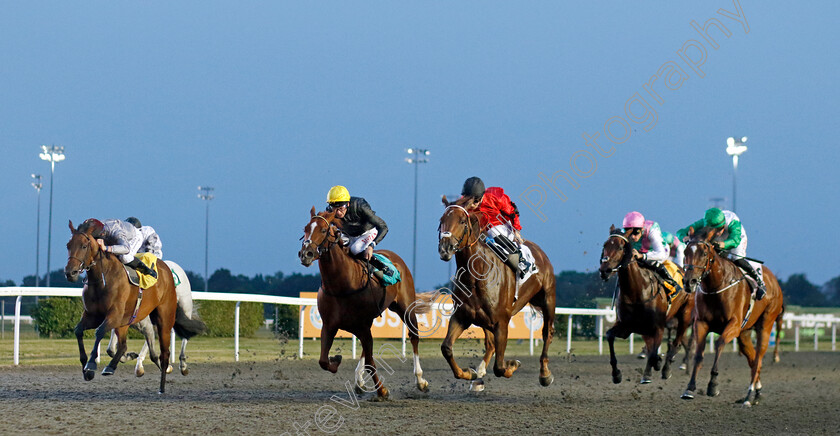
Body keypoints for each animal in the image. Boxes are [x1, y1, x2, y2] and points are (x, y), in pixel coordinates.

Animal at [63, 220, 205, 394]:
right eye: (68, 245)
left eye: (84, 246)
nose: (70, 272)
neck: (102, 279)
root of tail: (166, 269)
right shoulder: (94, 316)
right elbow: (79, 331)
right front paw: (87, 367)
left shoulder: (116, 315)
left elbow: (100, 332)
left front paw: (91, 365)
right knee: (127, 345)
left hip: (168, 315)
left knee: (167, 350)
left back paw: (167, 381)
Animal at [298, 206, 430, 400]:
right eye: (305, 229)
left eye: (322, 230)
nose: (305, 254)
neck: (341, 285)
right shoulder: (331, 325)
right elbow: (323, 360)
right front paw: (336, 359)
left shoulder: (361, 325)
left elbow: (370, 360)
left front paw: (382, 390)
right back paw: (359, 381)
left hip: (406, 307)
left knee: (414, 337)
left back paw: (420, 381)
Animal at [434, 196, 556, 386]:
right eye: (442, 221)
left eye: (462, 221)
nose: (445, 248)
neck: (477, 274)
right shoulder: (461, 316)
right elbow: (446, 347)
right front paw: (469, 373)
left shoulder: (502, 321)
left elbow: (499, 367)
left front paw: (513, 364)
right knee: (490, 344)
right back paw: (480, 371)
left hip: (548, 299)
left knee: (547, 333)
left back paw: (544, 374)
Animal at [596, 227, 696, 384]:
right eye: (605, 245)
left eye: (620, 247)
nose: (604, 270)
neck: (637, 291)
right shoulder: (627, 326)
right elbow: (609, 336)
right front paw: (616, 374)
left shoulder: (658, 327)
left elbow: (655, 350)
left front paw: (650, 371)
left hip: (685, 315)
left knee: (677, 343)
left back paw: (667, 367)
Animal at [680, 228, 784, 406]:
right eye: (686, 252)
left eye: (704, 252)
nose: (689, 281)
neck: (716, 287)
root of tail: (775, 282)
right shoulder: (701, 323)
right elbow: (698, 354)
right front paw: (690, 388)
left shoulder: (734, 324)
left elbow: (719, 343)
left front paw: (713, 385)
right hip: (744, 334)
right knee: (752, 359)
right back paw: (757, 392)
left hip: (766, 323)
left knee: (758, 359)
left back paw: (749, 395)